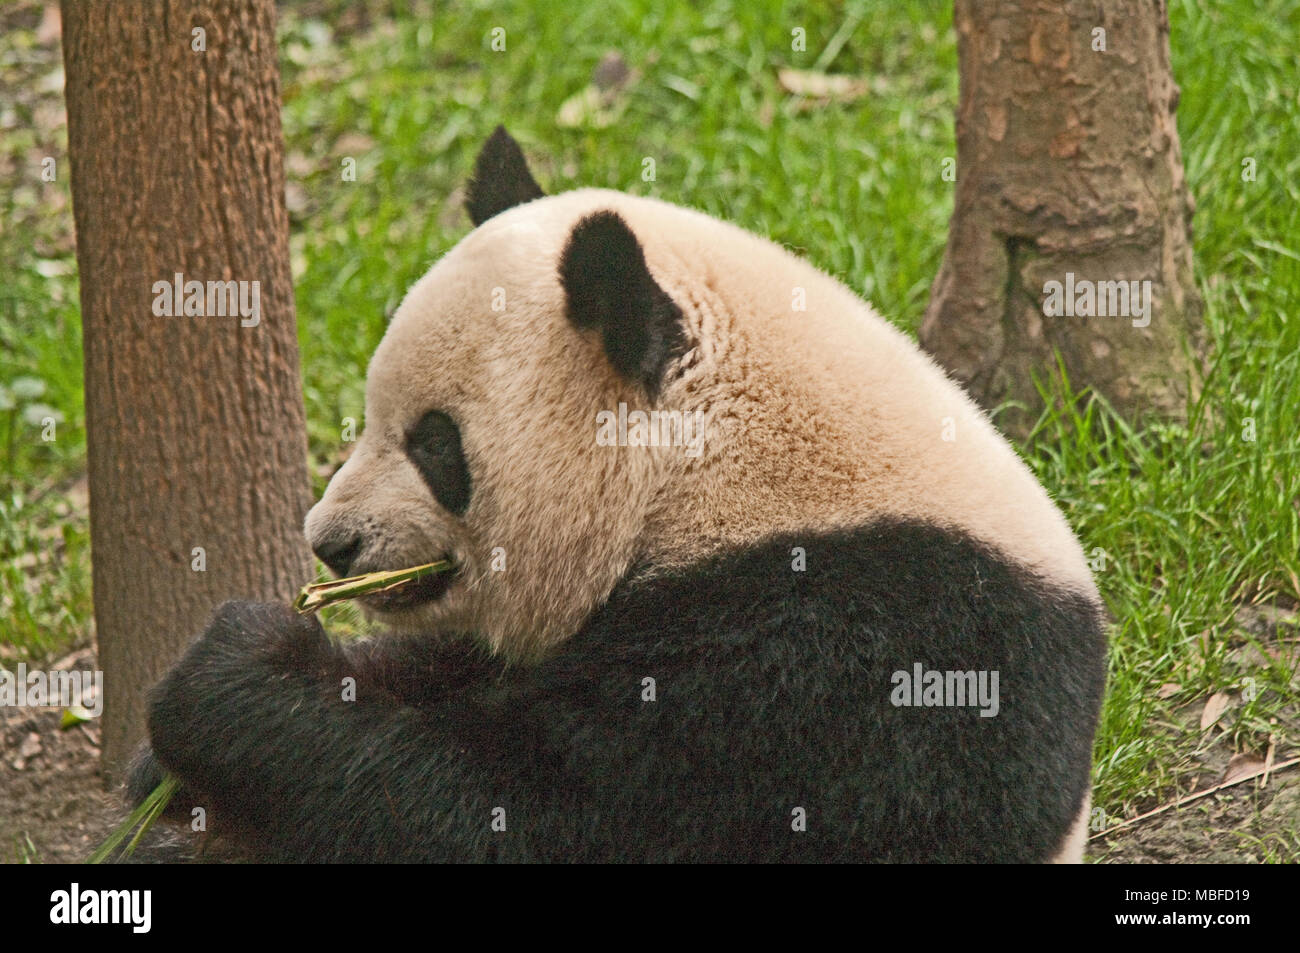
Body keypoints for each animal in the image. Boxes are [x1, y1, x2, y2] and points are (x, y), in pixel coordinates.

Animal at [129, 126, 1107, 863]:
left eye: (435, 443)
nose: (332, 541)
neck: (716, 467)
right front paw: (162, 780)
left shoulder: (844, 650)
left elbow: (545, 813)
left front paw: (236, 670)